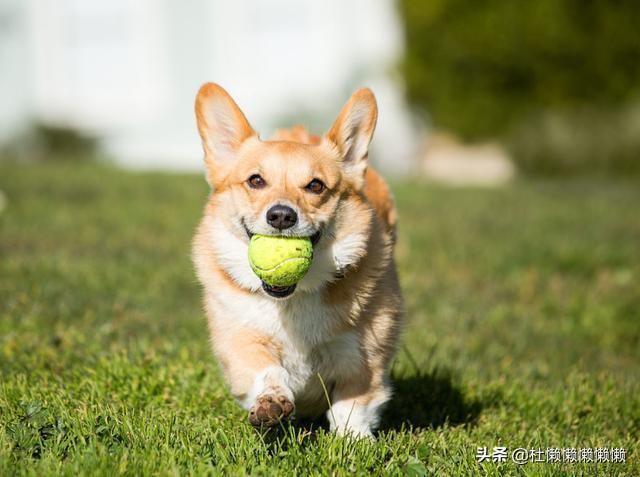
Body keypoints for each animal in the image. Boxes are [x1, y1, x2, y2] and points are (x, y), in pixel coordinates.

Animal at [190, 82, 402, 436]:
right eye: (256, 180)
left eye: (315, 186)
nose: (281, 216)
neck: (294, 297)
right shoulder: (243, 342)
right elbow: (267, 371)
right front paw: (271, 403)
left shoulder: (362, 358)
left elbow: (352, 405)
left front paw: (353, 440)